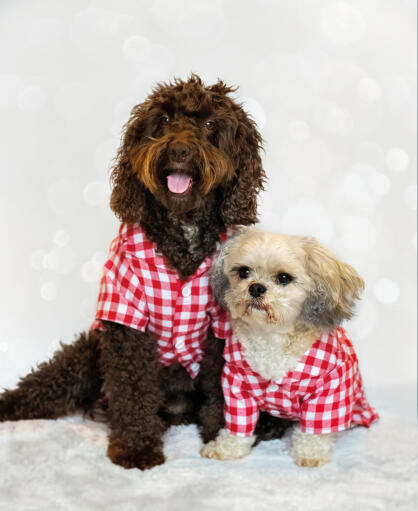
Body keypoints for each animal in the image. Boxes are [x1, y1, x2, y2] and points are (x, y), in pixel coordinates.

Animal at [0, 74, 292, 470]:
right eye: (164, 120)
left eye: (209, 124)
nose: (180, 150)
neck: (183, 229)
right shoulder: (125, 319)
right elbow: (133, 387)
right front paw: (137, 446)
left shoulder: (221, 326)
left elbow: (220, 384)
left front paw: (221, 433)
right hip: (88, 352)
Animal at [200, 231, 378, 468]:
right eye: (244, 272)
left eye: (284, 278)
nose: (256, 287)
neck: (271, 336)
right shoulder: (237, 383)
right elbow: (239, 422)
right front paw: (227, 448)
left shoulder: (329, 388)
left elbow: (315, 427)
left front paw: (311, 454)